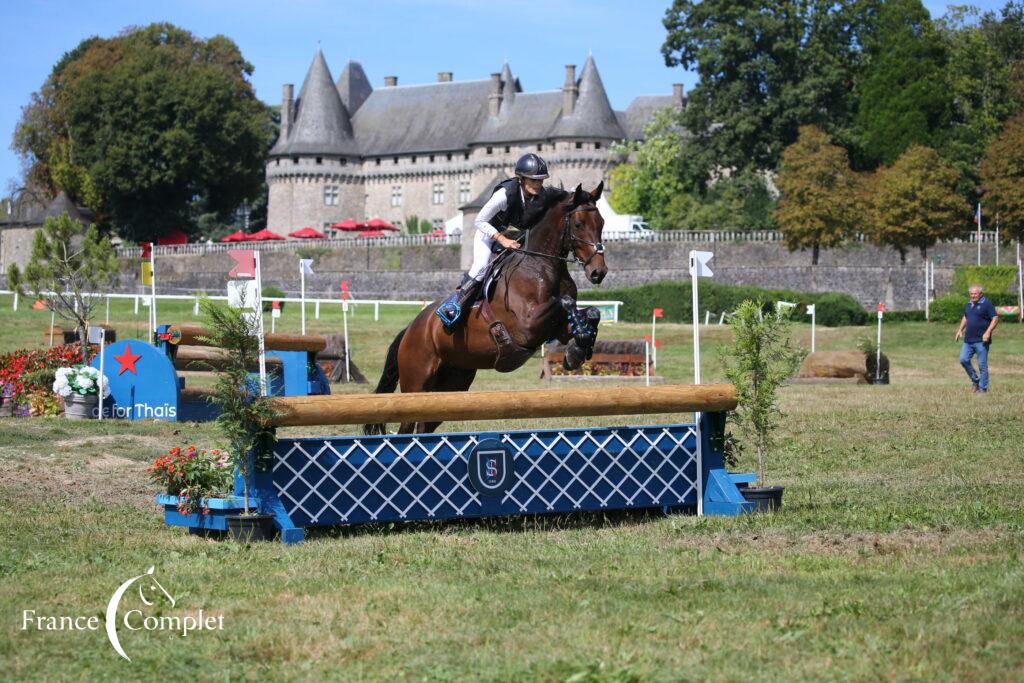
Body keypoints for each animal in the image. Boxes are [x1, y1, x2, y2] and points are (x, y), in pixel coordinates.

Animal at [364, 181, 606, 436]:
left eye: (601, 223)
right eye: (579, 224)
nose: (598, 272)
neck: (541, 265)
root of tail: (410, 329)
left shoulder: (555, 329)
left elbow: (591, 312)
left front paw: (578, 348)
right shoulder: (527, 325)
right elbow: (565, 302)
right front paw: (577, 347)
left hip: (453, 382)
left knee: (425, 425)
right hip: (416, 381)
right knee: (406, 426)